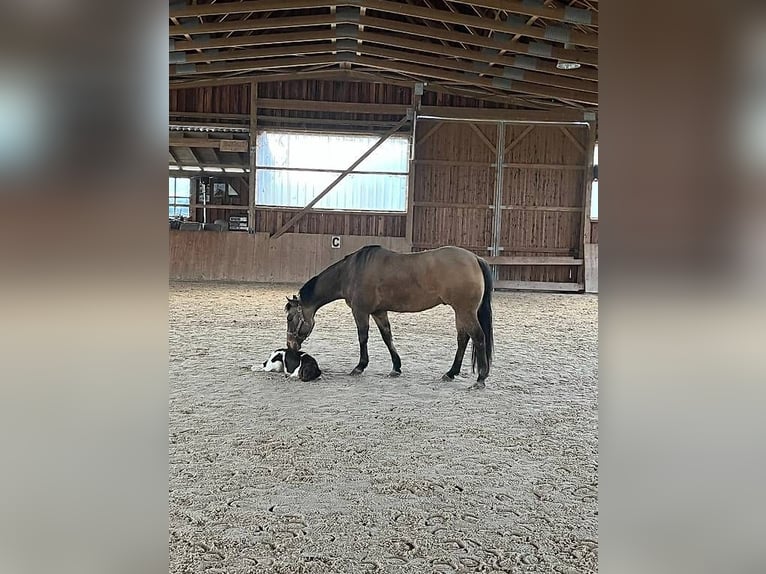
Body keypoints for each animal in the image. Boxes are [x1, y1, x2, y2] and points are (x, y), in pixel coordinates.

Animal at [284, 245, 496, 390]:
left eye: (289, 319)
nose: (290, 346)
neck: (351, 272)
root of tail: (475, 258)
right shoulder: (379, 312)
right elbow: (387, 337)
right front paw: (396, 367)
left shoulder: (360, 312)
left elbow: (363, 337)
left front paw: (360, 367)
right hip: (460, 312)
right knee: (463, 339)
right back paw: (451, 373)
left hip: (465, 311)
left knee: (478, 338)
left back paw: (480, 378)